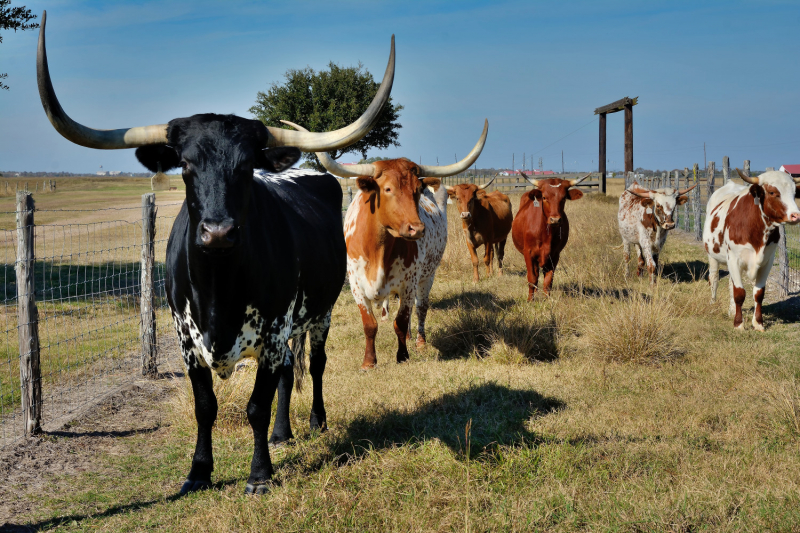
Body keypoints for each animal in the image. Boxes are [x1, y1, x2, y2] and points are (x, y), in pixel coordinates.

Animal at [284, 118, 490, 368]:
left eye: (417, 190)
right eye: (388, 189)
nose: (417, 229)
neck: (377, 249)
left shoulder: (408, 283)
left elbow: (400, 321)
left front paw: (403, 356)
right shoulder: (356, 286)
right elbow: (370, 325)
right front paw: (368, 362)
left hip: (427, 276)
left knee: (420, 309)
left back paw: (419, 341)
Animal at [704, 169, 796, 328]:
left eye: (795, 192)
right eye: (772, 192)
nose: (796, 215)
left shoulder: (767, 261)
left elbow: (758, 293)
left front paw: (758, 323)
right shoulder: (733, 259)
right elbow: (739, 292)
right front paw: (739, 324)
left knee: (730, 284)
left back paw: (731, 310)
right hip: (713, 255)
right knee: (714, 278)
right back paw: (713, 304)